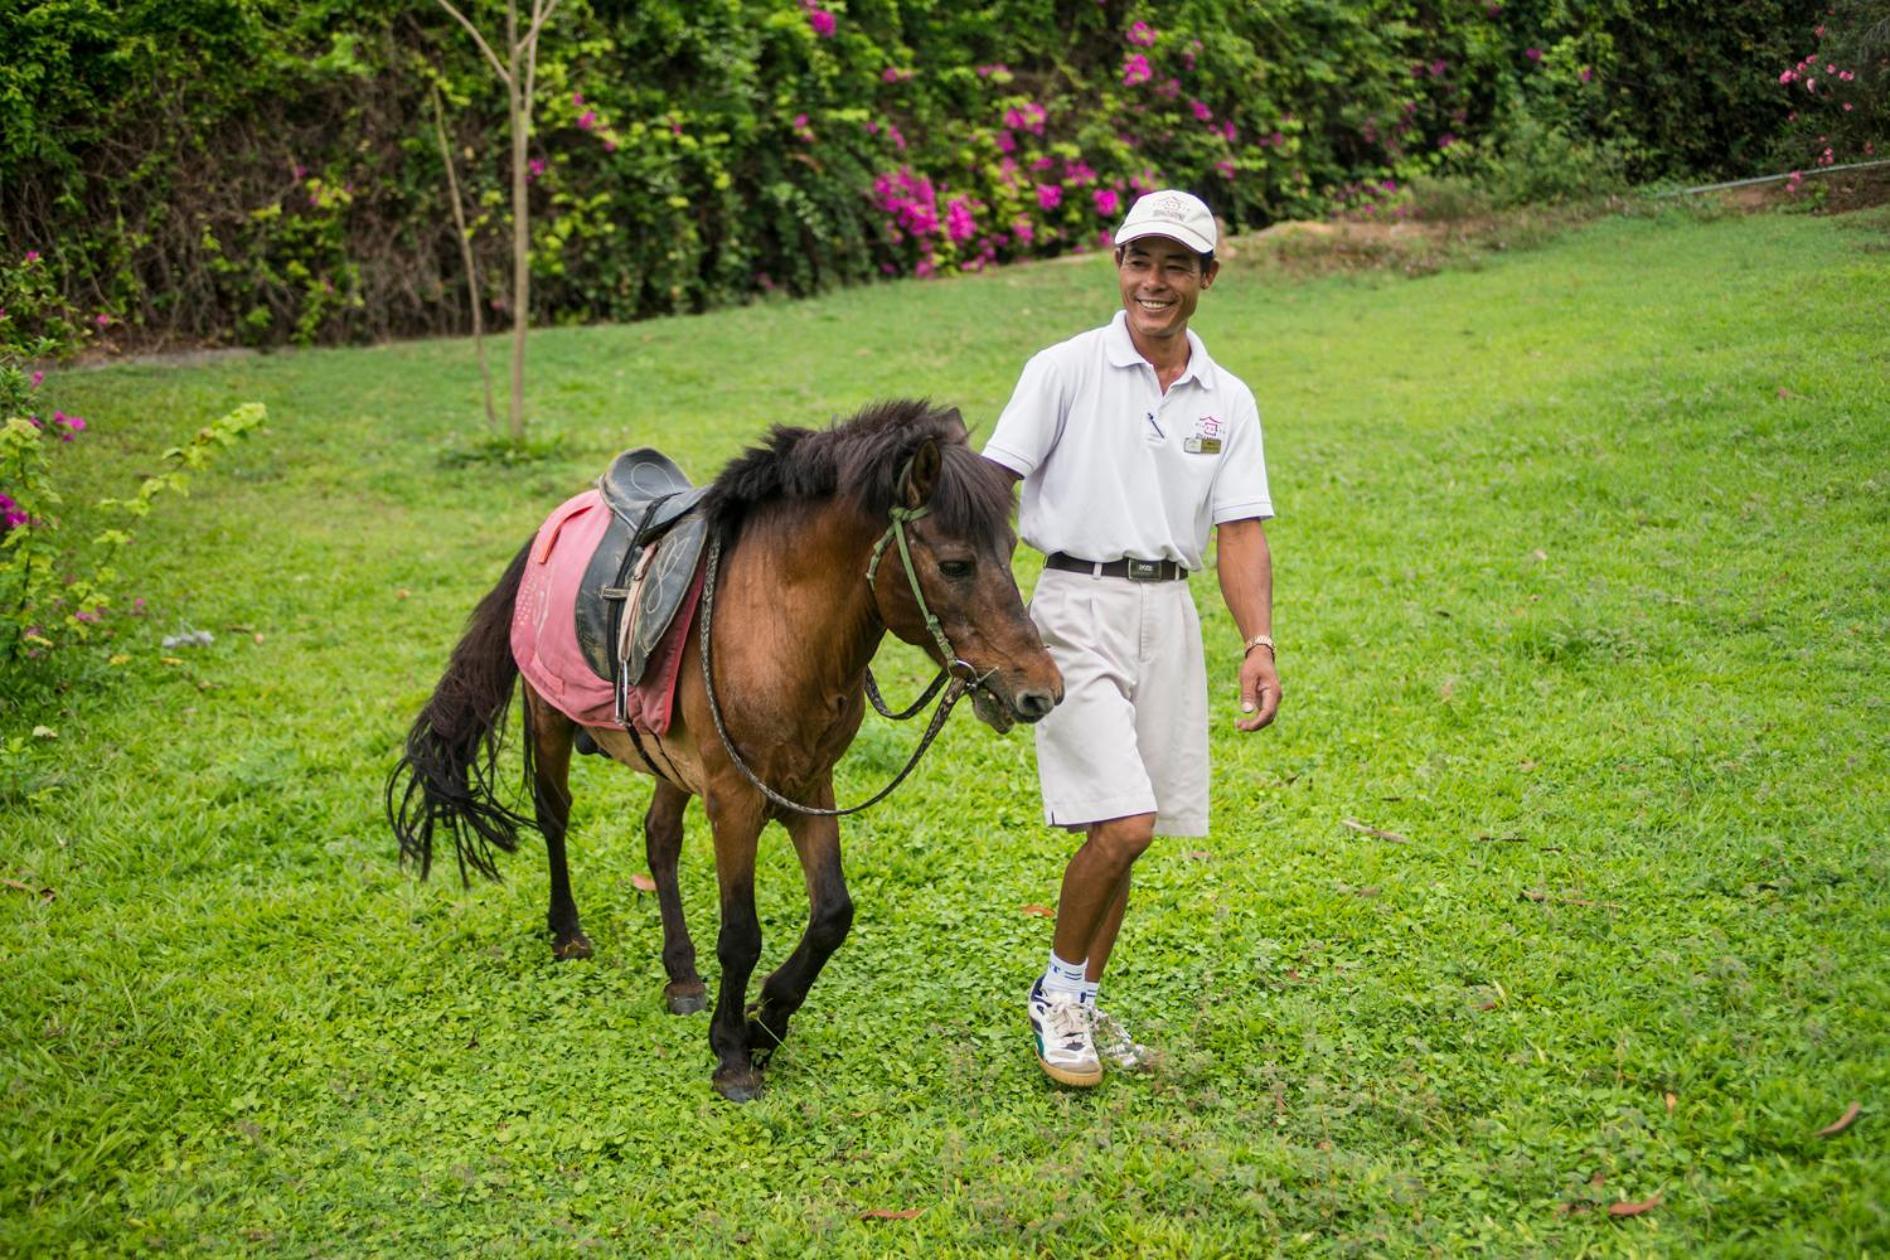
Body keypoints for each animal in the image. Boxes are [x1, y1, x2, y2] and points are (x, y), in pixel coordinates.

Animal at [387, 398, 1065, 1095]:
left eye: (1011, 551)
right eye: (956, 565)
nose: (1042, 692)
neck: (778, 625)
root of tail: (551, 524)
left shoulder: (808, 786)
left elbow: (832, 914)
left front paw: (769, 1019)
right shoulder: (735, 799)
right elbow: (741, 933)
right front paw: (733, 1051)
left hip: (668, 757)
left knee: (659, 838)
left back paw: (682, 975)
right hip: (549, 719)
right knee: (554, 819)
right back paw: (569, 934)